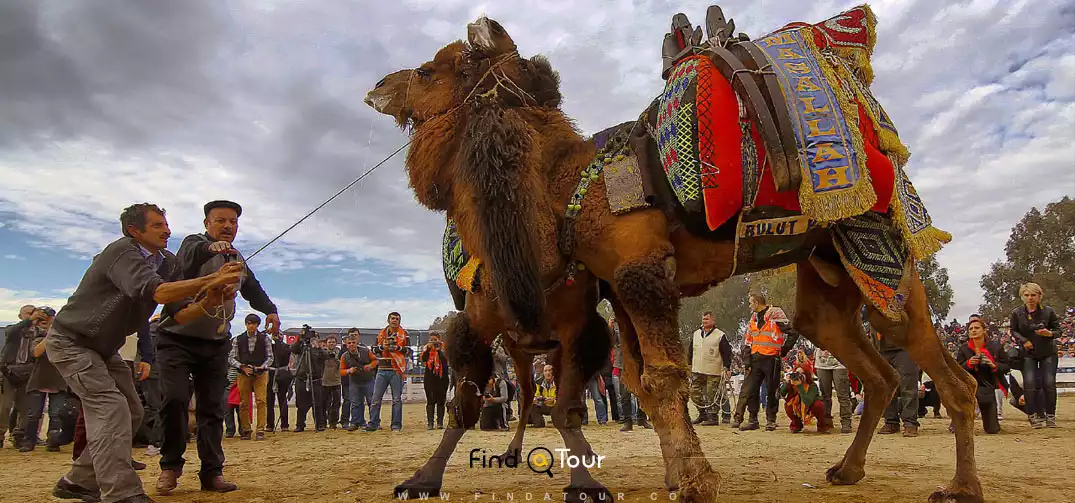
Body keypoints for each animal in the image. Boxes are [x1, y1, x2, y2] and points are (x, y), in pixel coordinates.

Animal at [363, 9, 984, 503]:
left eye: (427, 72)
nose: (379, 87)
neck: (564, 191)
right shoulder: (616, 286)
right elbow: (640, 381)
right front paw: (673, 474)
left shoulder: (641, 272)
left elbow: (662, 379)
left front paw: (695, 480)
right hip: (826, 274)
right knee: (870, 365)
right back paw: (848, 470)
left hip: (877, 244)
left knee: (945, 373)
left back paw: (960, 486)